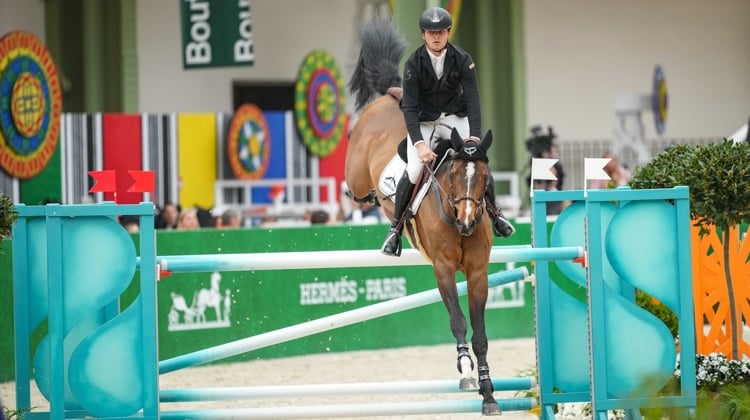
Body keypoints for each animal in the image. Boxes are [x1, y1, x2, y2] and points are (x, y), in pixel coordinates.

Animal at [346, 21, 506, 416]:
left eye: (485, 178)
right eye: (454, 175)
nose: (467, 222)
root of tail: (393, 95)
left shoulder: (478, 273)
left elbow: (481, 335)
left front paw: (489, 394)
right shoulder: (444, 269)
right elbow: (458, 321)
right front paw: (465, 370)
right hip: (357, 171)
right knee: (356, 188)